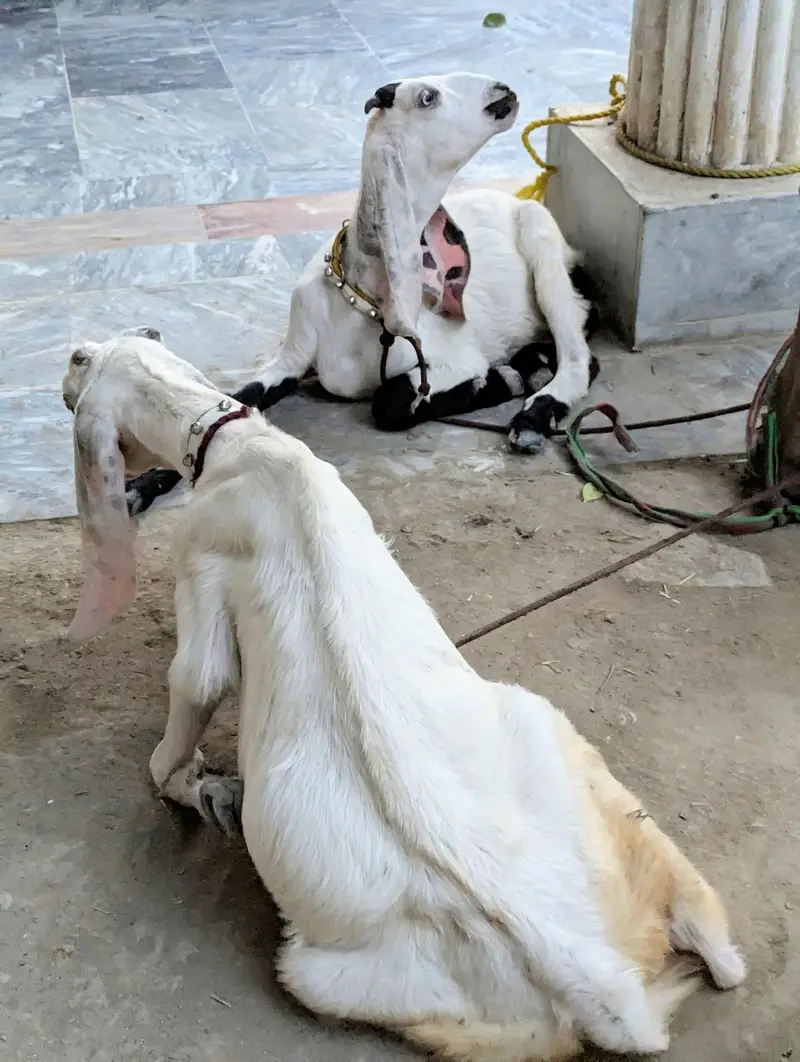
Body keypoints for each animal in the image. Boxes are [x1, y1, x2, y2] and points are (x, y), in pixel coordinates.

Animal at [64, 329, 745, 1062]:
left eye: (82, 361)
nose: (70, 365)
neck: (240, 445)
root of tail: (603, 988)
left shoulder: (199, 559)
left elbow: (195, 686)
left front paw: (201, 787)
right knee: (722, 955)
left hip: (321, 972)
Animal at [124, 71, 600, 518]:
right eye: (427, 97)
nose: (504, 91)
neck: (360, 298)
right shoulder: (292, 356)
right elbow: (229, 403)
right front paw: (139, 487)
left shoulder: (453, 358)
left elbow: (390, 401)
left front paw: (497, 379)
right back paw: (533, 365)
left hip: (541, 240)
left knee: (581, 357)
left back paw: (531, 408)